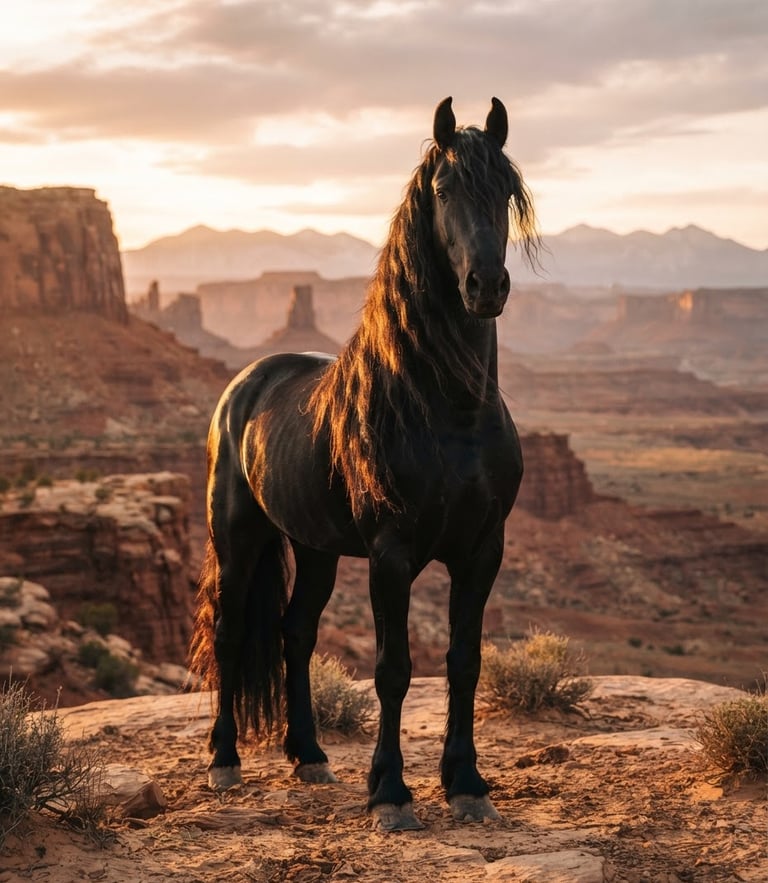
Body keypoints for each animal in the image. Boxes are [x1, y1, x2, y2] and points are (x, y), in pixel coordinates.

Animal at [189, 96, 538, 831]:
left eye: (506, 193)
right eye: (444, 190)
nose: (485, 285)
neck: (448, 411)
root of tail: (244, 386)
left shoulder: (482, 549)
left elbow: (464, 661)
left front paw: (467, 784)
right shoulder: (391, 553)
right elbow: (392, 668)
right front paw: (390, 793)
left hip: (314, 546)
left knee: (294, 632)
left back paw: (309, 755)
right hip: (237, 536)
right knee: (231, 634)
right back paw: (224, 762)